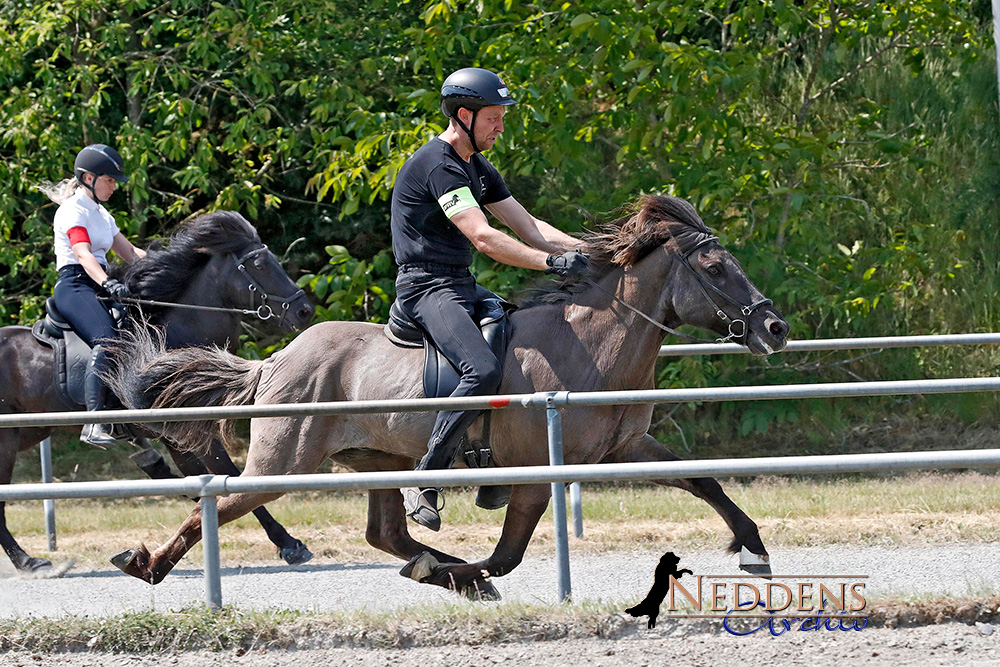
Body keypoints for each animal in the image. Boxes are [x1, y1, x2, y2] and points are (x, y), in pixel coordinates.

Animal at [0, 213, 312, 576]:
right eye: (260, 264)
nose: (304, 310)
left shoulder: (179, 441)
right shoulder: (190, 437)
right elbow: (233, 478)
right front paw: (289, 544)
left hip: (27, 433)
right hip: (7, 444)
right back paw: (29, 562)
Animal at [107, 196, 788, 596]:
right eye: (716, 268)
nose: (773, 327)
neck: (595, 345)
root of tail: (276, 360)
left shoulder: (625, 448)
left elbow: (702, 480)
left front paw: (753, 547)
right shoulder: (535, 470)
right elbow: (508, 554)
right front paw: (463, 573)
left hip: (379, 463)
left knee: (385, 533)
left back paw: (432, 559)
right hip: (282, 464)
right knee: (216, 505)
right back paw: (147, 563)